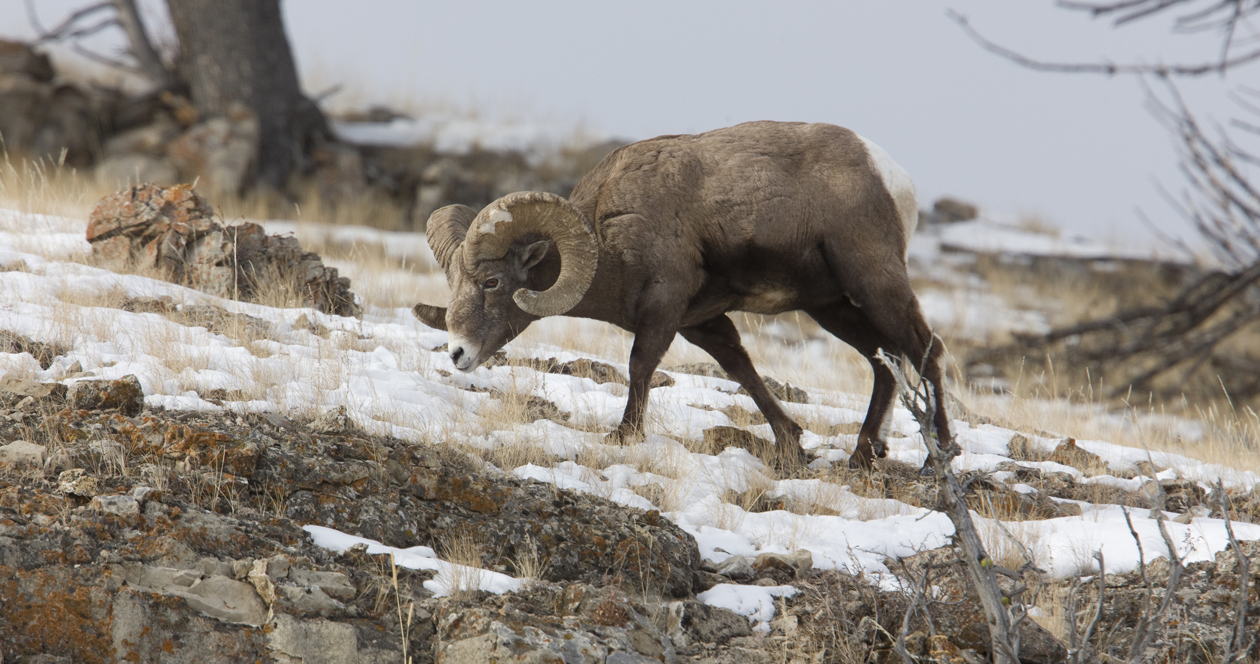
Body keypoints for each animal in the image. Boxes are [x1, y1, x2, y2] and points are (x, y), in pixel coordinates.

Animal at [415, 122, 952, 471]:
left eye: (491, 283)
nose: (457, 353)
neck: (610, 232)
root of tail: (892, 177)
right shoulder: (701, 322)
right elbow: (741, 369)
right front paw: (792, 445)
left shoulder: (664, 309)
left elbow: (640, 367)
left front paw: (624, 436)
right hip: (831, 307)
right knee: (884, 362)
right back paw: (864, 455)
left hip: (873, 282)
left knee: (925, 349)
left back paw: (940, 454)